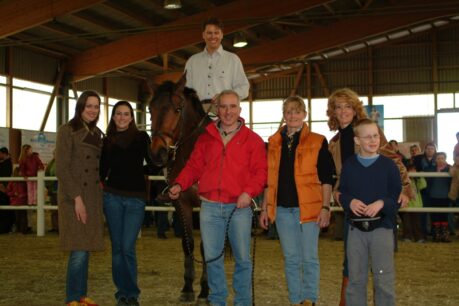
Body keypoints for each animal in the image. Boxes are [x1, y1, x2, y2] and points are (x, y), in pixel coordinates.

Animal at [150, 76, 213, 304]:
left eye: (177, 109)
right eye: (150, 109)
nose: (157, 153)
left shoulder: (205, 206)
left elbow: (205, 247)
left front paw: (205, 290)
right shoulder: (181, 204)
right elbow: (188, 245)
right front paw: (187, 288)